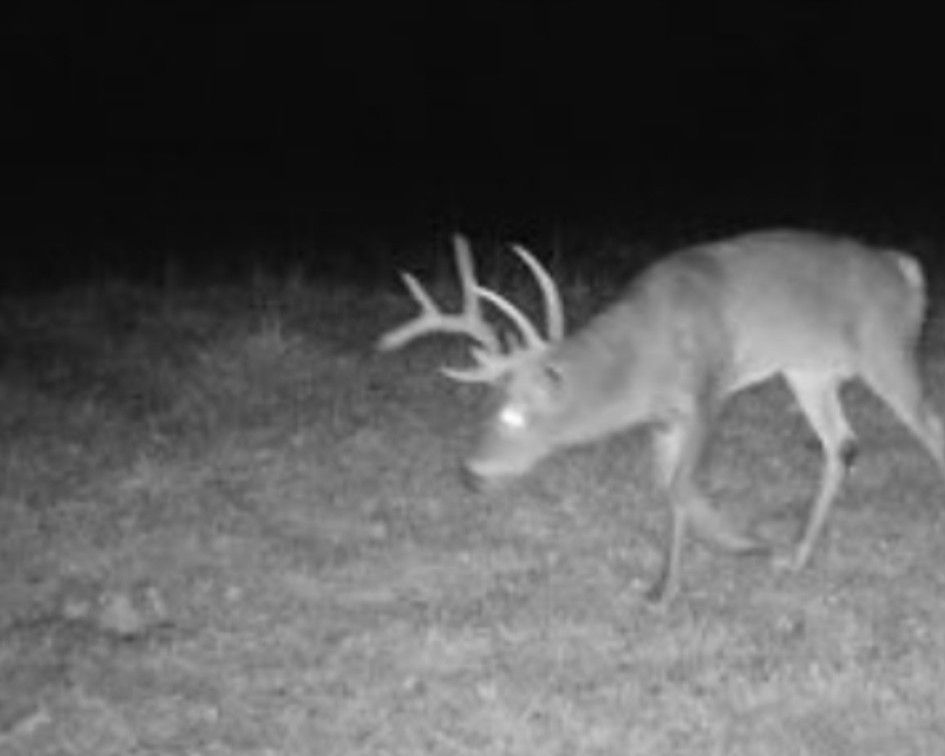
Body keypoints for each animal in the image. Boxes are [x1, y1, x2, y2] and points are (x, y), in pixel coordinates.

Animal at [377, 230, 945, 603]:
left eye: (516, 416)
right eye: (484, 406)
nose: (469, 473)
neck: (641, 358)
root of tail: (907, 270)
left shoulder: (709, 387)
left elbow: (678, 485)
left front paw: (706, 565)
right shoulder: (666, 416)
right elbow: (668, 485)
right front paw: (702, 565)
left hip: (886, 351)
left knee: (930, 427)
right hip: (810, 370)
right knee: (842, 445)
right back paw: (798, 556)